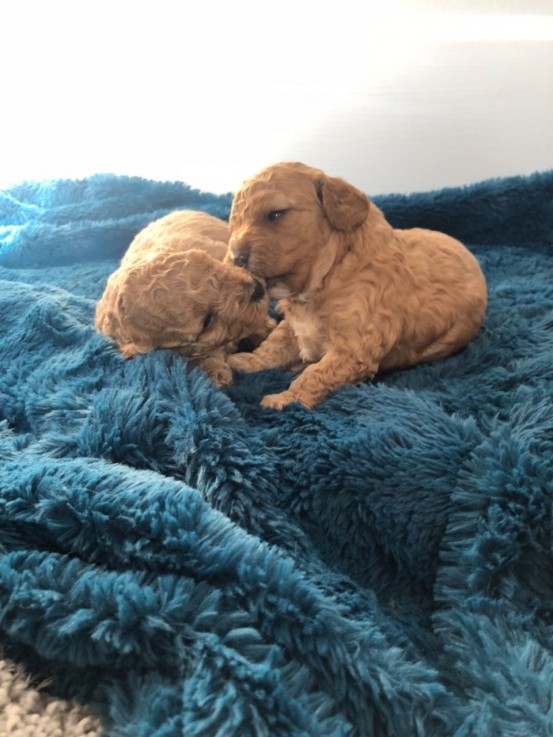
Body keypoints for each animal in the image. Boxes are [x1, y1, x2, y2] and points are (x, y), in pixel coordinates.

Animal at [226, 162, 486, 412]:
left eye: (276, 214)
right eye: (234, 224)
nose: (236, 258)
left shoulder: (355, 346)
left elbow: (316, 373)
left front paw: (286, 398)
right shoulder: (295, 325)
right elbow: (273, 345)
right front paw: (247, 361)